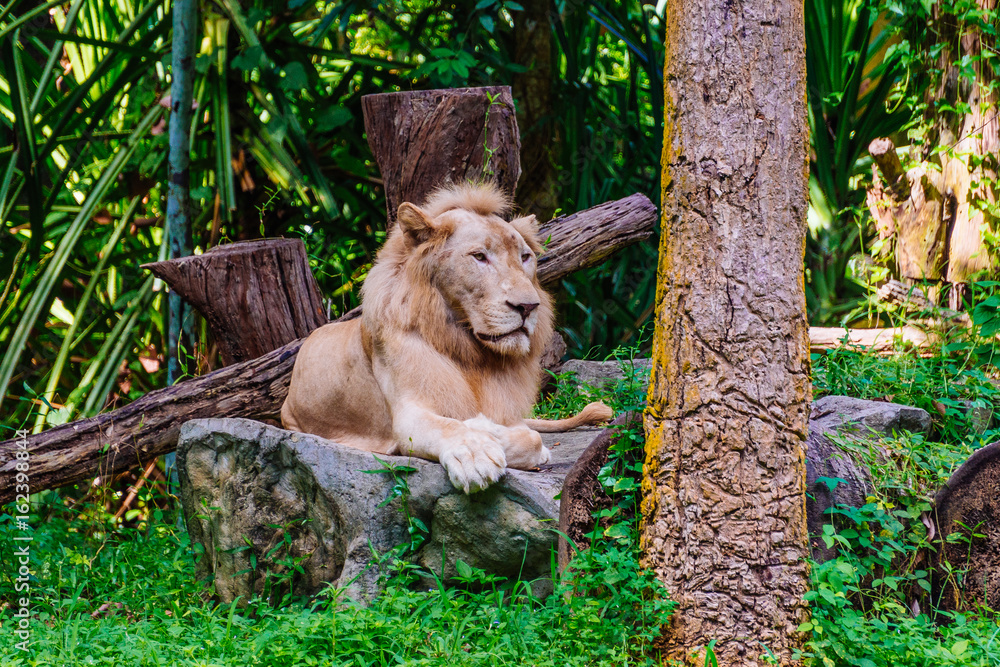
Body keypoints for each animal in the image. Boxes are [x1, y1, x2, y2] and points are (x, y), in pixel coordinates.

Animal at [281, 181, 612, 493]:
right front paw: (476, 454)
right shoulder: (409, 415)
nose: (529, 307)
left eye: (525, 257)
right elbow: (454, 428)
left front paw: (492, 430)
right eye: (479, 256)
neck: (470, 351)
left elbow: (529, 437)